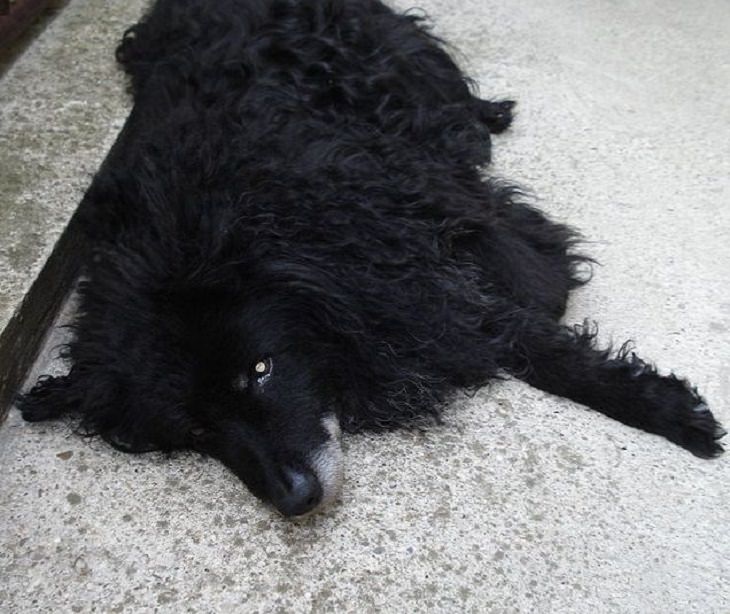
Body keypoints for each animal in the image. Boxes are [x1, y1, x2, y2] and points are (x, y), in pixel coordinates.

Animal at [17, 0, 724, 520]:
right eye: (193, 430)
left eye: (262, 369)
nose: (294, 501)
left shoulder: (409, 239)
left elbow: (528, 322)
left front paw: (664, 410)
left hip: (397, 52)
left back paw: (490, 114)